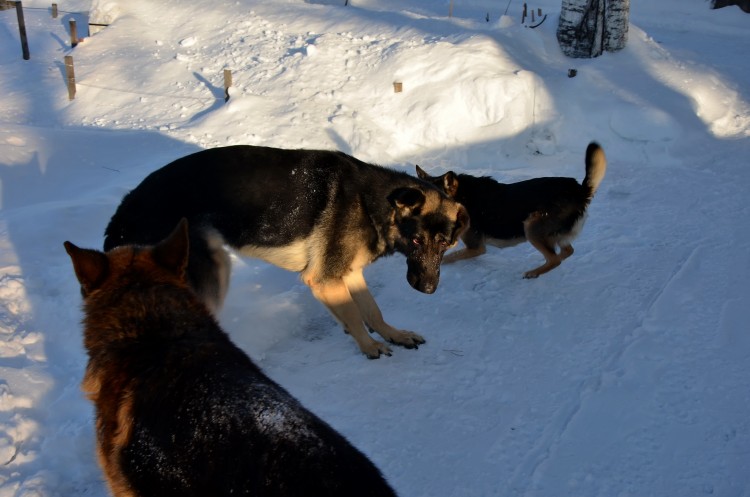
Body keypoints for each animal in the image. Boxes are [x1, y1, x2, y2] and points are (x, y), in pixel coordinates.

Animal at [103, 145, 468, 358]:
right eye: (417, 241)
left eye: (444, 244)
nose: (428, 289)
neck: (373, 203)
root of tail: (122, 213)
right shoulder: (324, 280)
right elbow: (353, 314)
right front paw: (369, 346)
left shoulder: (348, 273)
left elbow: (371, 311)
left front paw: (393, 335)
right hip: (211, 271)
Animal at [418, 141, 612, 278]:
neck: (462, 197)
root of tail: (580, 191)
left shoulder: (476, 247)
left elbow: (448, 257)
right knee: (566, 251)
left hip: (531, 225)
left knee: (555, 258)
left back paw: (533, 273)